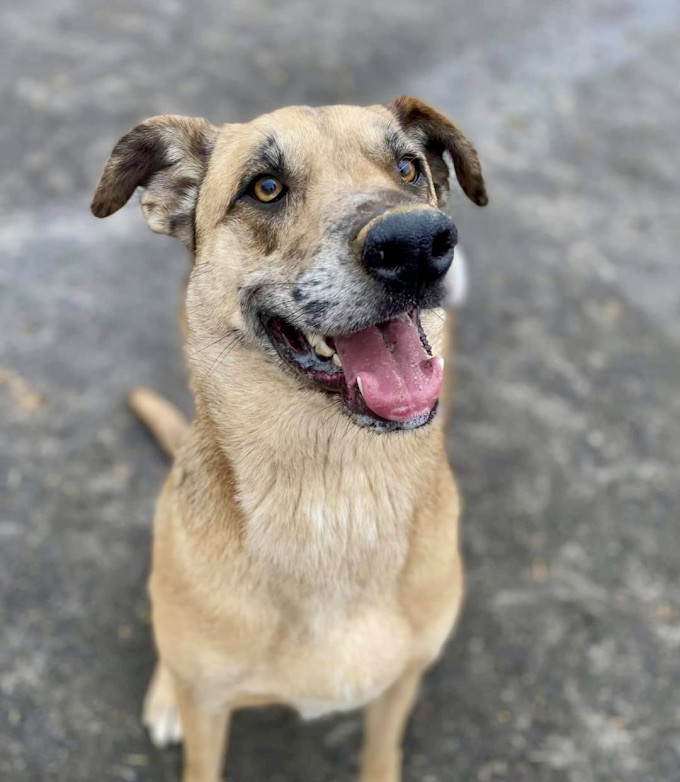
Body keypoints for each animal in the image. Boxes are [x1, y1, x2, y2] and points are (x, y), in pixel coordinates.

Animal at [91, 98, 488, 782]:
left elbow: (380, 753)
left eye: (408, 169)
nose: (416, 244)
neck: (335, 492)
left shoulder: (400, 686)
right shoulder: (210, 708)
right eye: (266, 188)